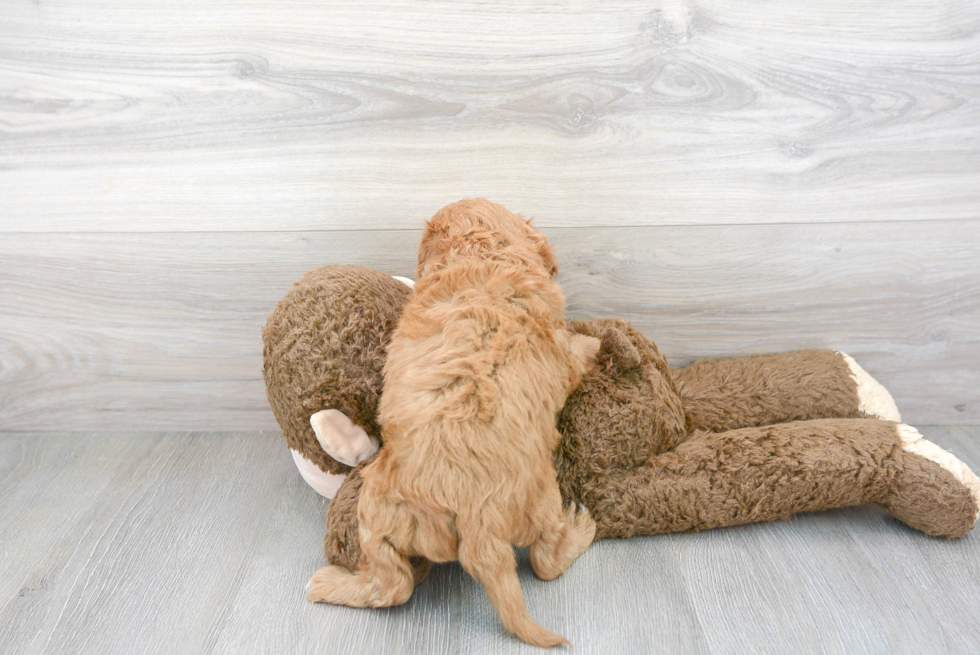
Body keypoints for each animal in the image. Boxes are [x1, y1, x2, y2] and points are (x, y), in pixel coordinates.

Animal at [308, 197, 596, 648]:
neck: (480, 256)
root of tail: (475, 517)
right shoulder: (560, 353)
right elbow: (575, 355)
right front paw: (592, 342)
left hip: (375, 510)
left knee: (391, 585)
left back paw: (328, 584)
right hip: (541, 495)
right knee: (546, 561)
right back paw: (580, 528)